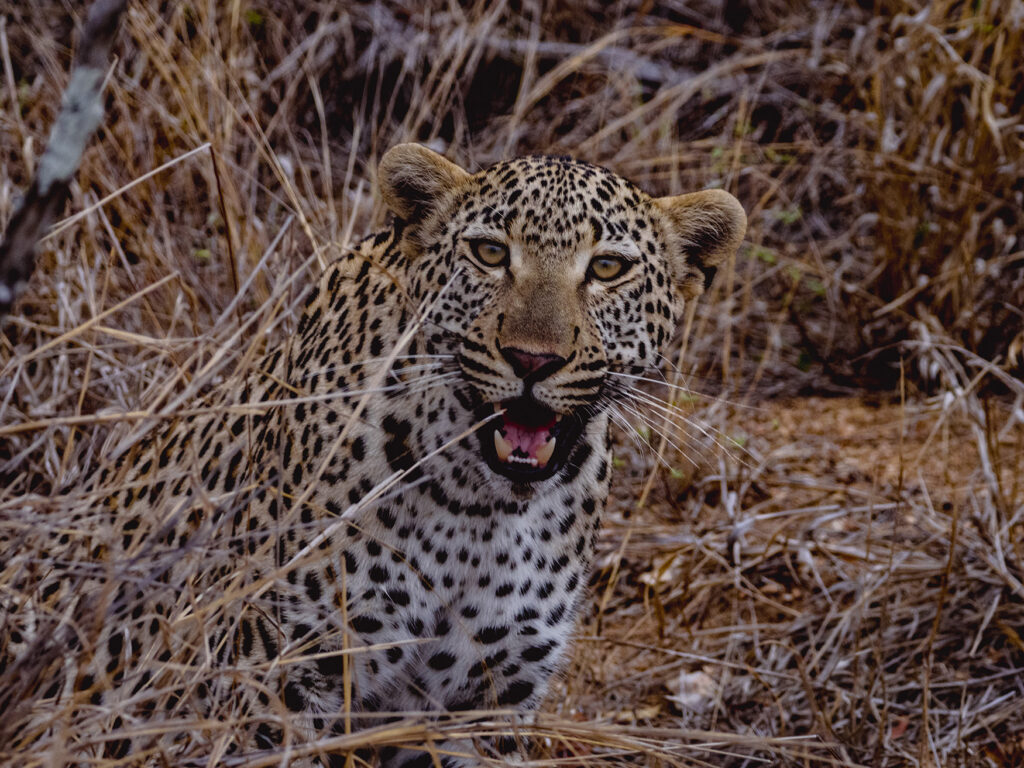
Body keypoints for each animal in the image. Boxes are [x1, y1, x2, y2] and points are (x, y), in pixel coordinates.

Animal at [0, 143, 745, 767]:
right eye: (489, 254)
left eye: (608, 268)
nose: (533, 359)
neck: (481, 511)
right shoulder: (281, 680)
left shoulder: (488, 707)